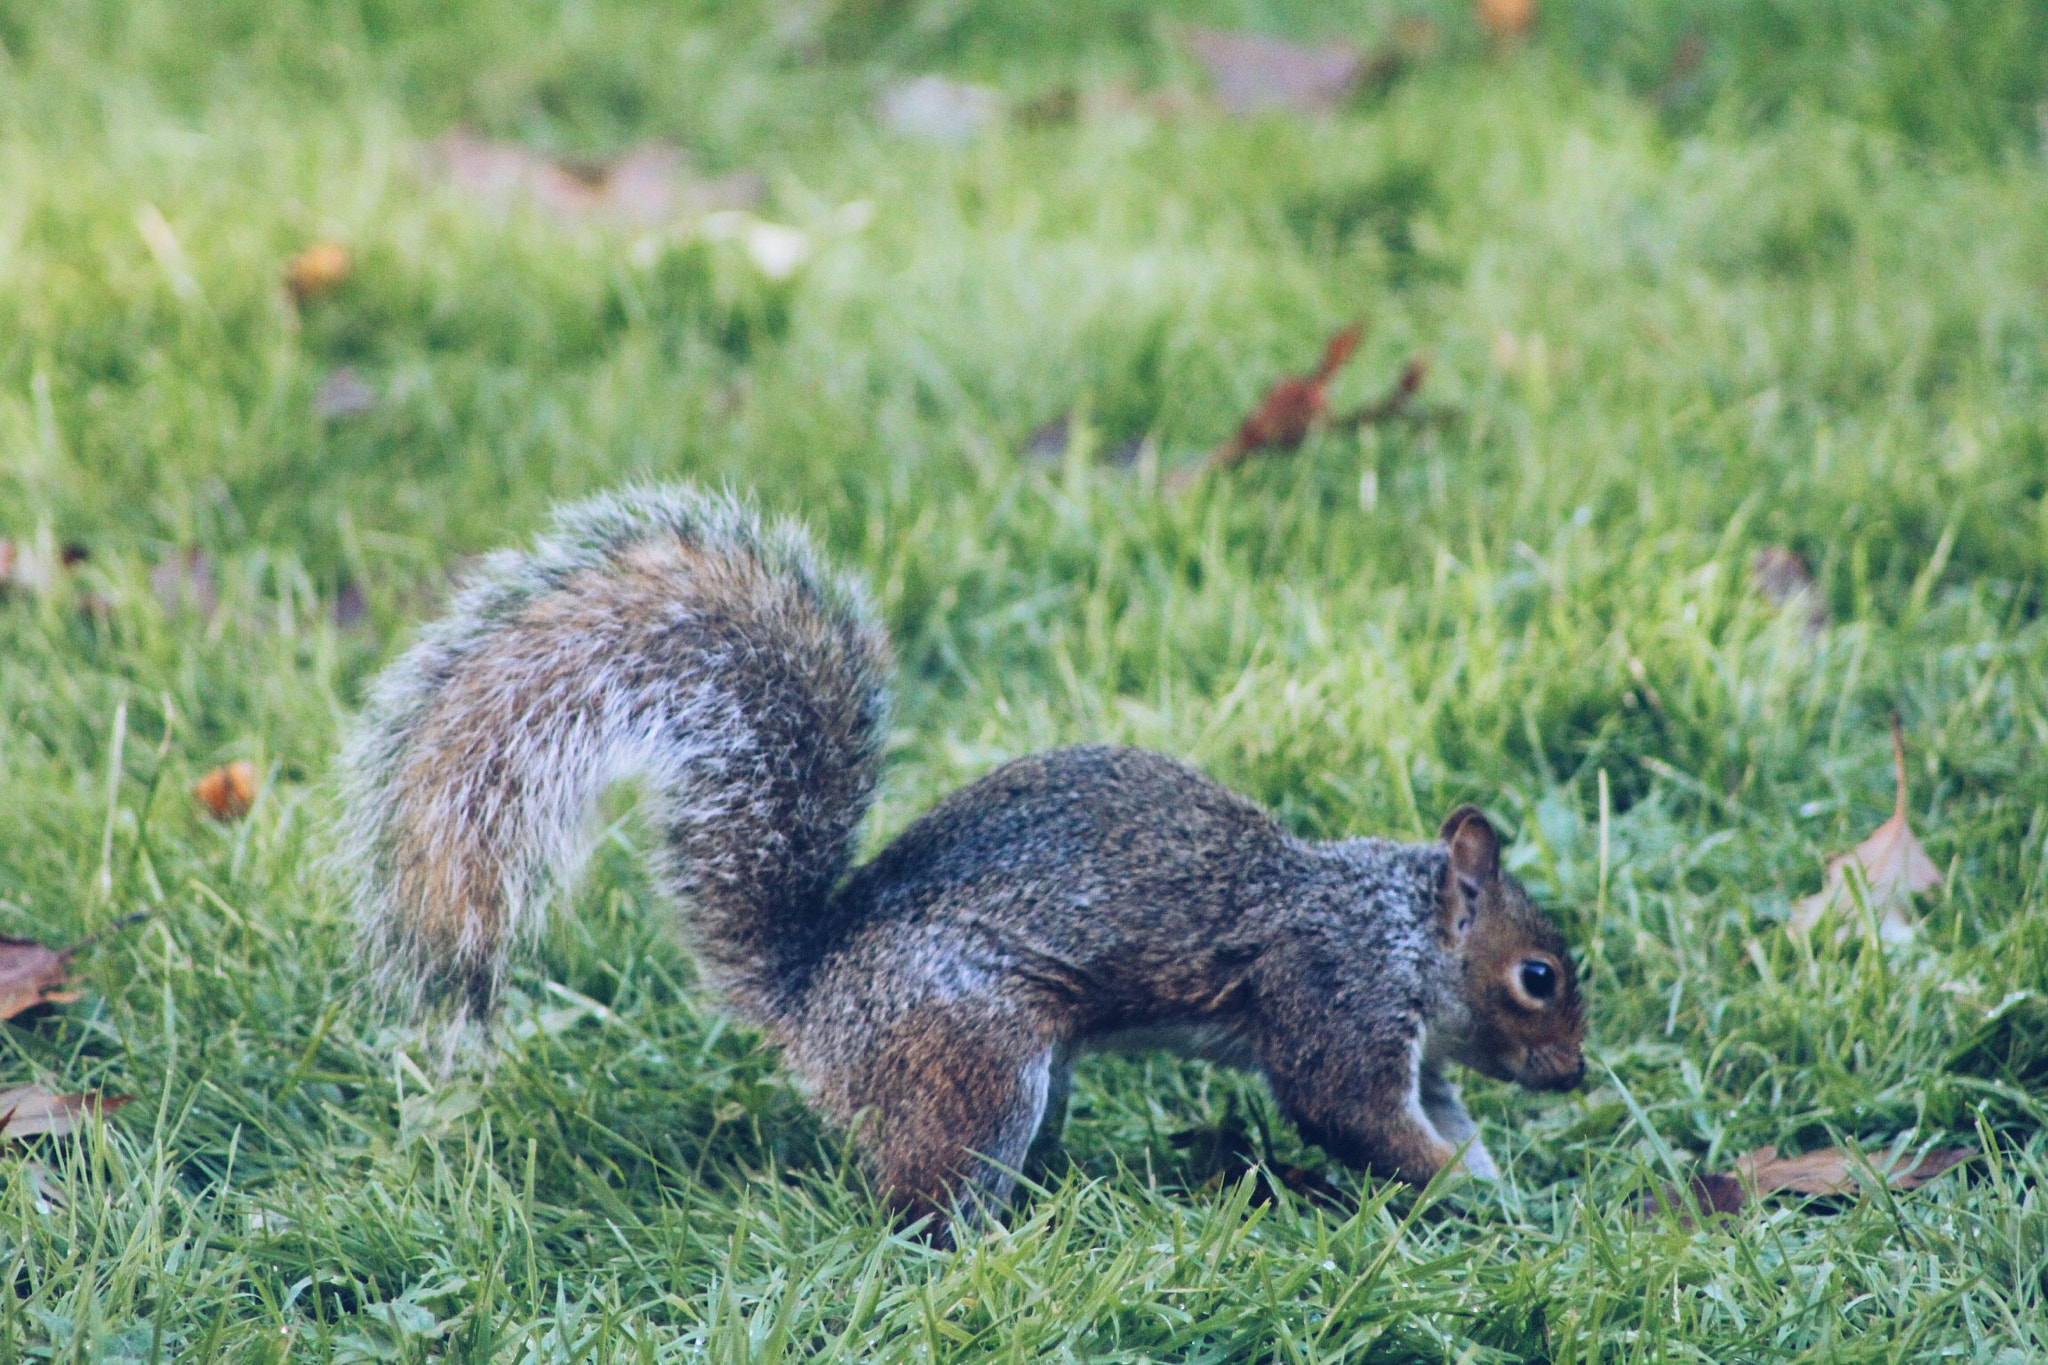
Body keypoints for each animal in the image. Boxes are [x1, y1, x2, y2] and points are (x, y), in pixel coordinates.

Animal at [335, 485, 1589, 1236]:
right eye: (1538, 977)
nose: (1576, 1075)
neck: (1398, 929)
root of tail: (810, 996)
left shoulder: (1417, 1053)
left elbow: (1441, 1121)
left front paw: (1493, 1187)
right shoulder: (1331, 998)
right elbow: (1348, 1116)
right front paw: (1467, 1196)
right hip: (976, 1059)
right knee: (920, 1201)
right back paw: (1005, 1244)